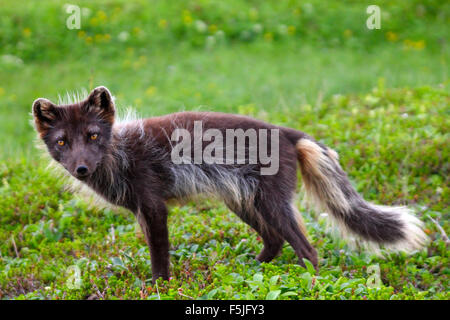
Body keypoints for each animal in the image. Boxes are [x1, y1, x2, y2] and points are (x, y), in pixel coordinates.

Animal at [31, 85, 426, 282]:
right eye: (62, 142)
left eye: (93, 135)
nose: (81, 169)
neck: (120, 154)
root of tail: (288, 132)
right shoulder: (140, 211)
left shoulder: (154, 206)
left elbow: (159, 256)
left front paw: (160, 287)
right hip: (242, 201)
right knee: (275, 240)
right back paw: (250, 271)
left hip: (270, 203)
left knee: (307, 249)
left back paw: (311, 284)